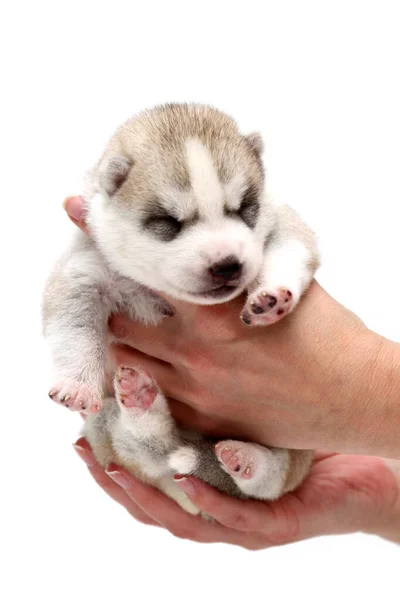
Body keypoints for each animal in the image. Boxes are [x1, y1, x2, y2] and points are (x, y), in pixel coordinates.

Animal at [43, 104, 318, 516]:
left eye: (244, 208)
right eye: (168, 222)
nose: (228, 266)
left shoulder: (283, 221)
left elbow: (290, 250)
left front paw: (270, 296)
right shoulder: (83, 271)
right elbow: (73, 326)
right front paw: (77, 383)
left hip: (296, 434)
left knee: (271, 480)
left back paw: (246, 459)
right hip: (105, 426)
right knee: (145, 449)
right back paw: (143, 407)